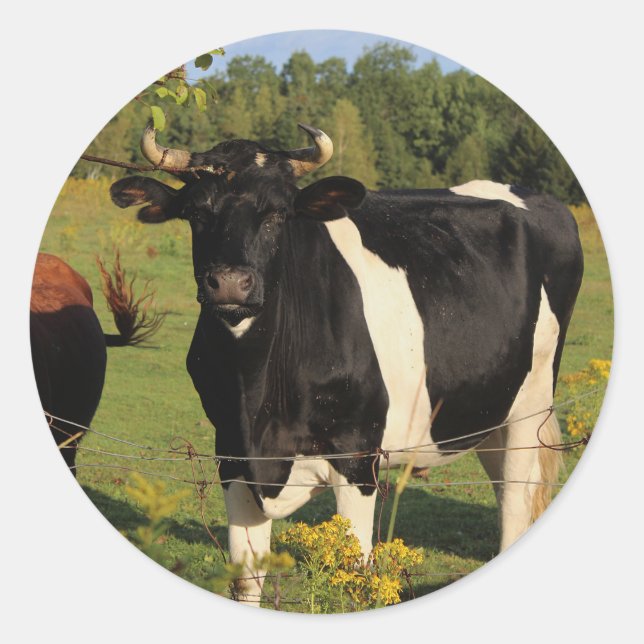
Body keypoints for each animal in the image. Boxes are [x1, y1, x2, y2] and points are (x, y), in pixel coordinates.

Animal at [110, 123, 583, 604]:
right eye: (196, 212)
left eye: (279, 213)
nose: (229, 283)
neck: (259, 398)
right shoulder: (231, 451)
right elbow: (246, 577)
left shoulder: (358, 452)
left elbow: (355, 576)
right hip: (487, 407)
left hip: (532, 403)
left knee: (517, 501)